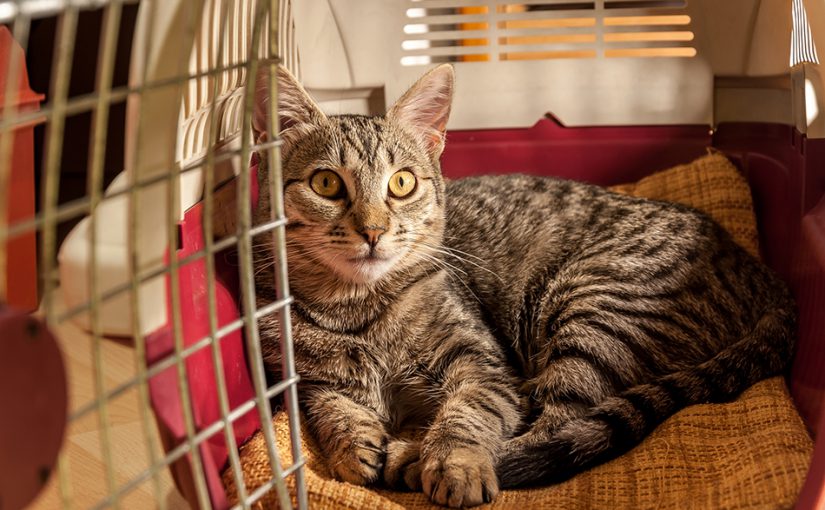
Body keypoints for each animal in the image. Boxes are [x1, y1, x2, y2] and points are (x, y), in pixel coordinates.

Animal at [249, 63, 792, 506]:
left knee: (552, 425)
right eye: (326, 184)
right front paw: (352, 443)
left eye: (401, 183)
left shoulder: (484, 364)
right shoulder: (304, 380)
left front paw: (451, 461)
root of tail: (760, 272)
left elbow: (468, 413)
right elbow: (329, 406)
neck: (357, 311)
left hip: (597, 311)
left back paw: (413, 455)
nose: (373, 230)